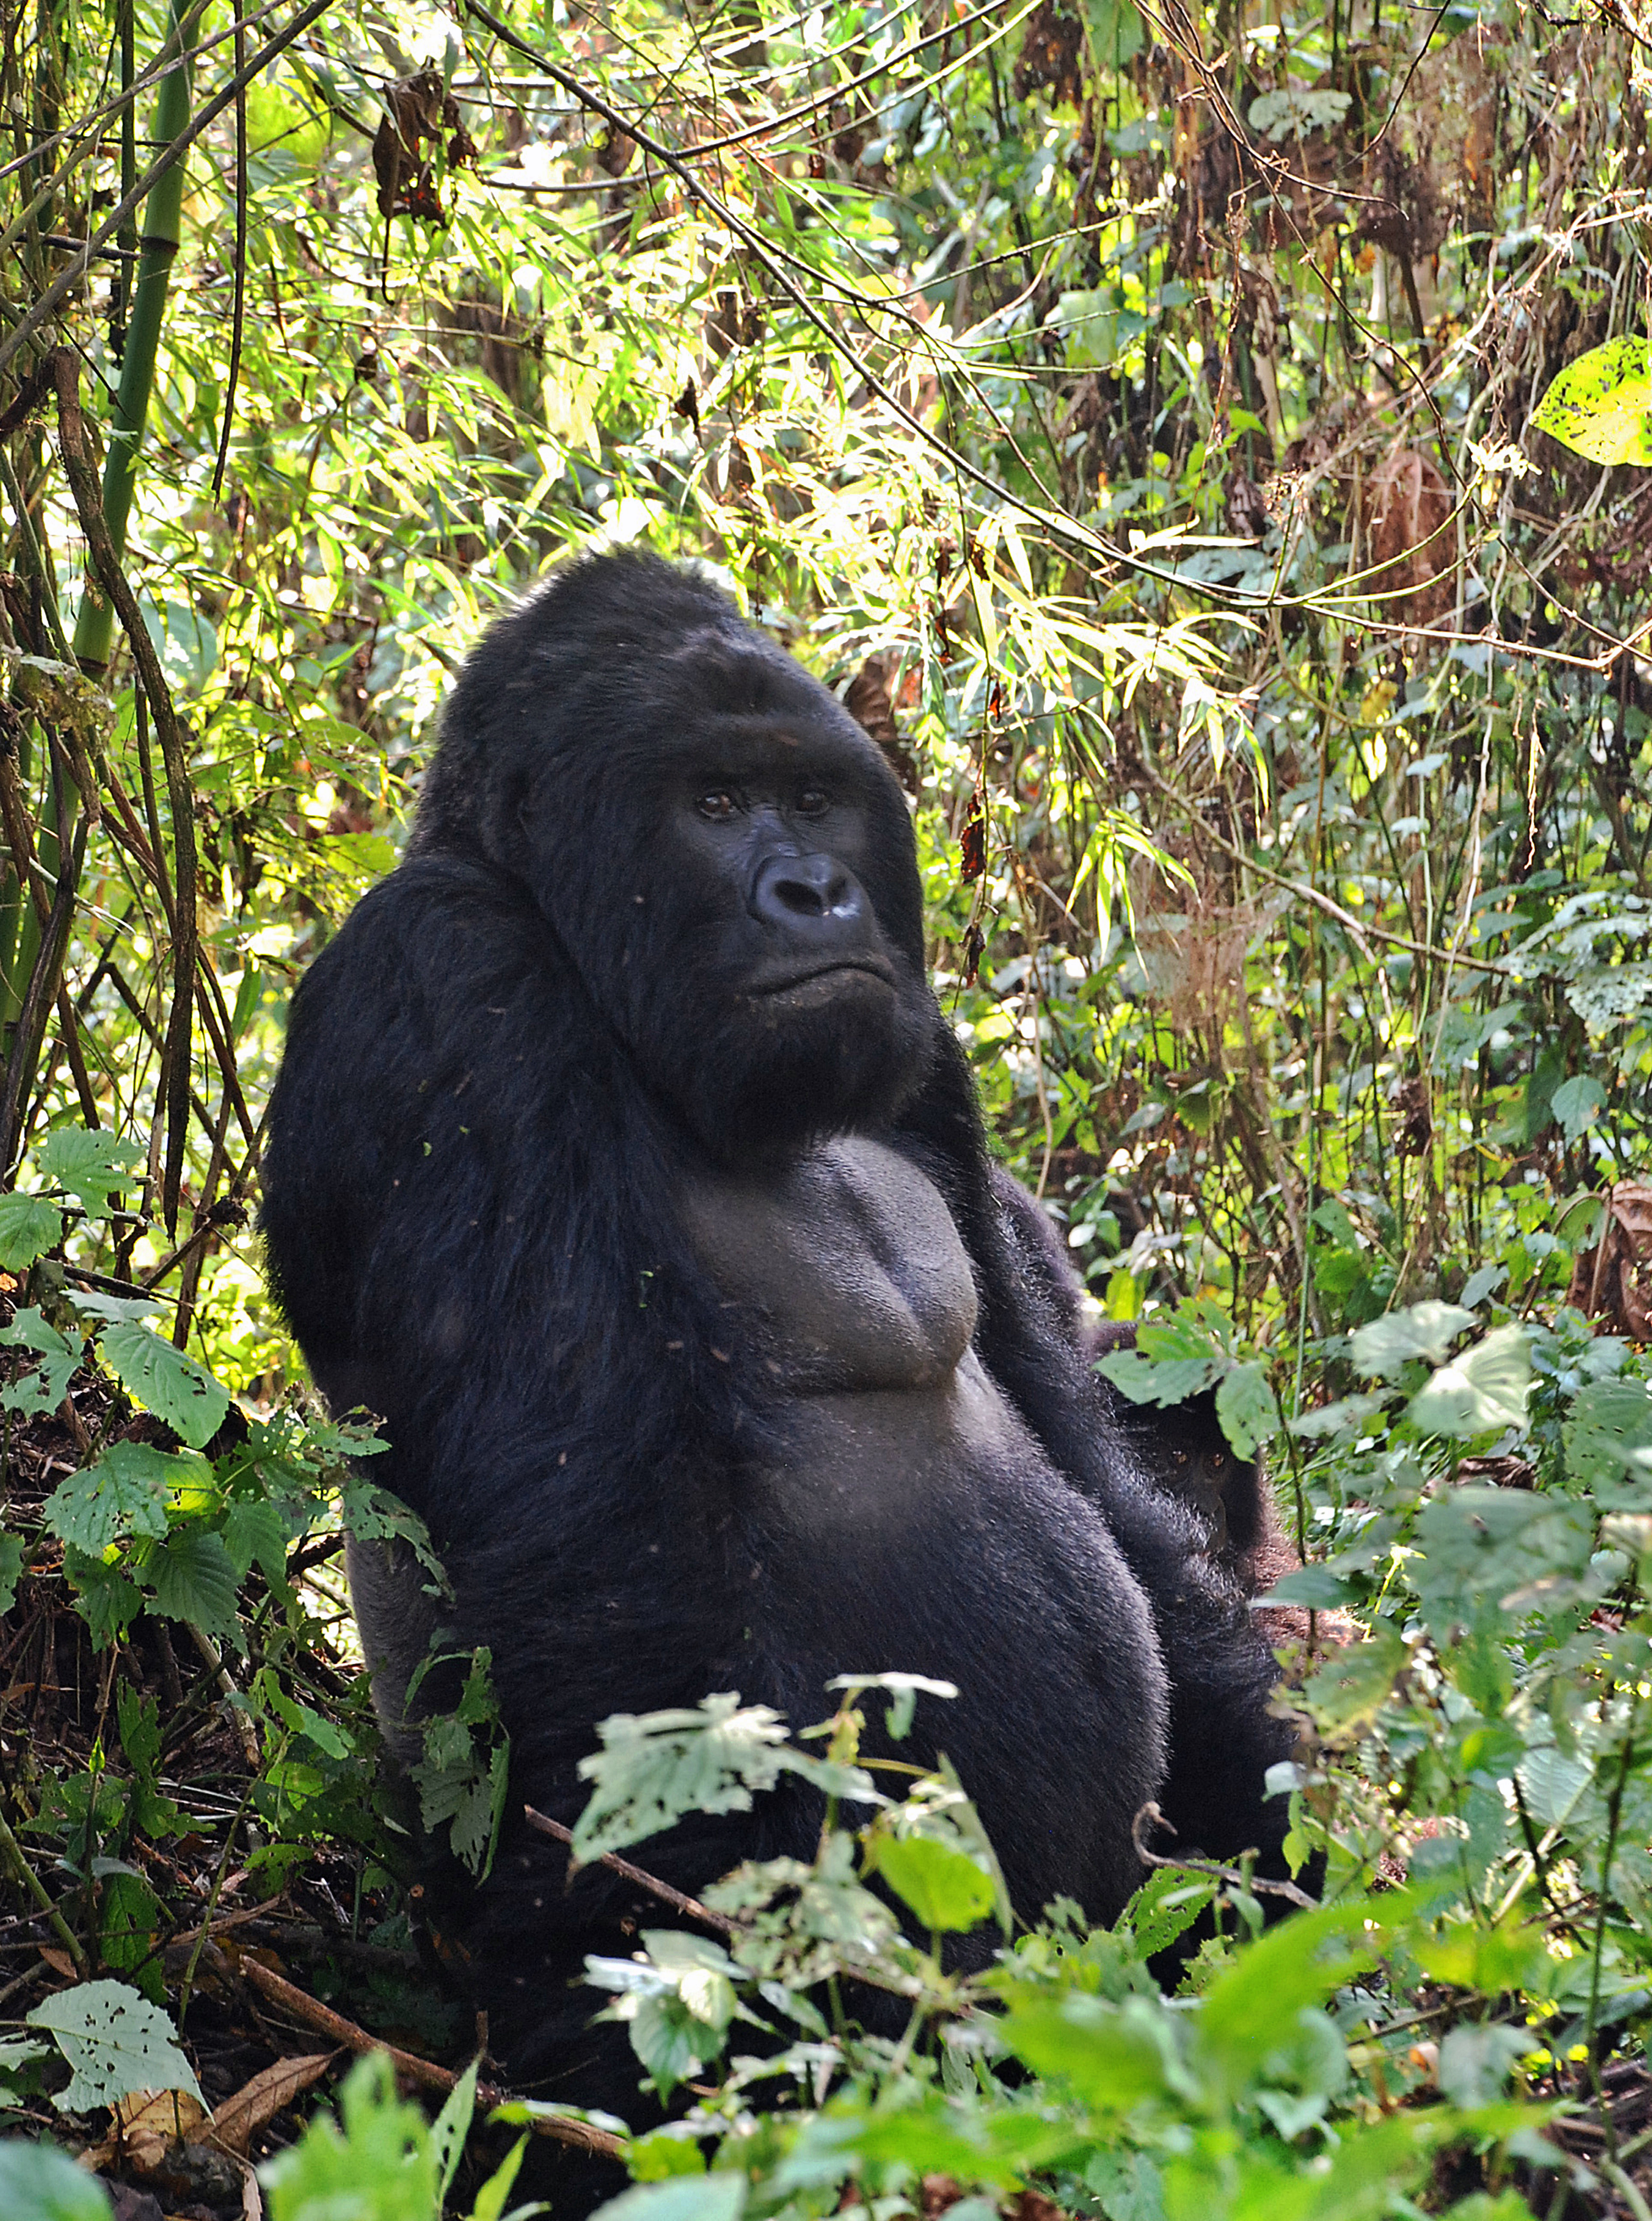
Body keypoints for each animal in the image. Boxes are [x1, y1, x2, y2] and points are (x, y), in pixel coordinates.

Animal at [261, 546, 1305, 2123]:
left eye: (812, 799)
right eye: (711, 802)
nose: (814, 891)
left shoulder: (924, 1058)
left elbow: (1081, 1440)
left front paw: (1271, 1833)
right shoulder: (445, 984)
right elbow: (616, 1599)